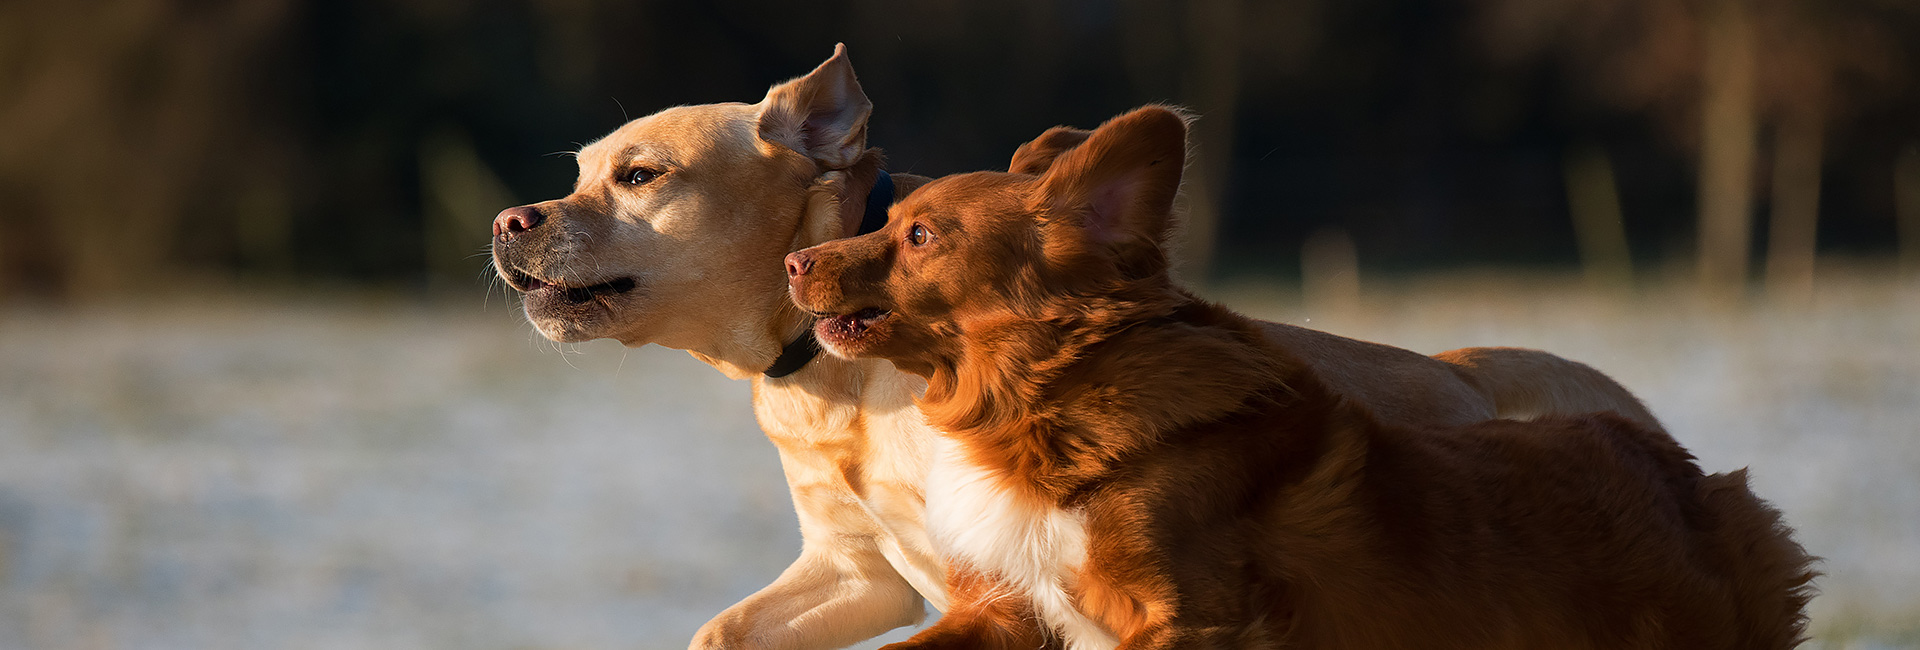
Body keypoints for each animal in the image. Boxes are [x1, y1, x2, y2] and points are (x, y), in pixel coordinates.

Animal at [783, 106, 1812, 650]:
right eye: (890, 219)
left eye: (919, 235)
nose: (793, 264)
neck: (1049, 403)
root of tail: (1685, 472)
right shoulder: (1019, 614)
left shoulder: (1187, 617)